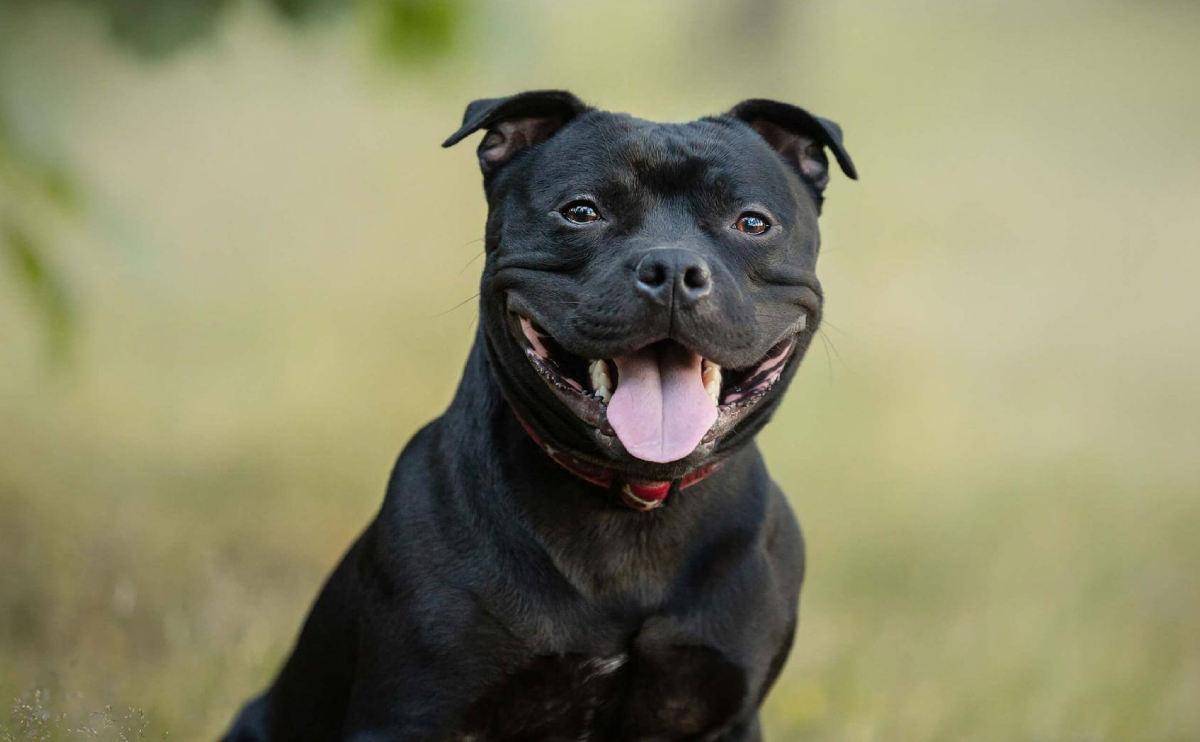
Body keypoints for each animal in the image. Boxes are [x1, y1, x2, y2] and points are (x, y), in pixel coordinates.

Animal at [225, 89, 854, 734]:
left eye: (752, 223)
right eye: (580, 213)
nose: (674, 269)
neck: (631, 510)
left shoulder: (723, 712)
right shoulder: (410, 712)